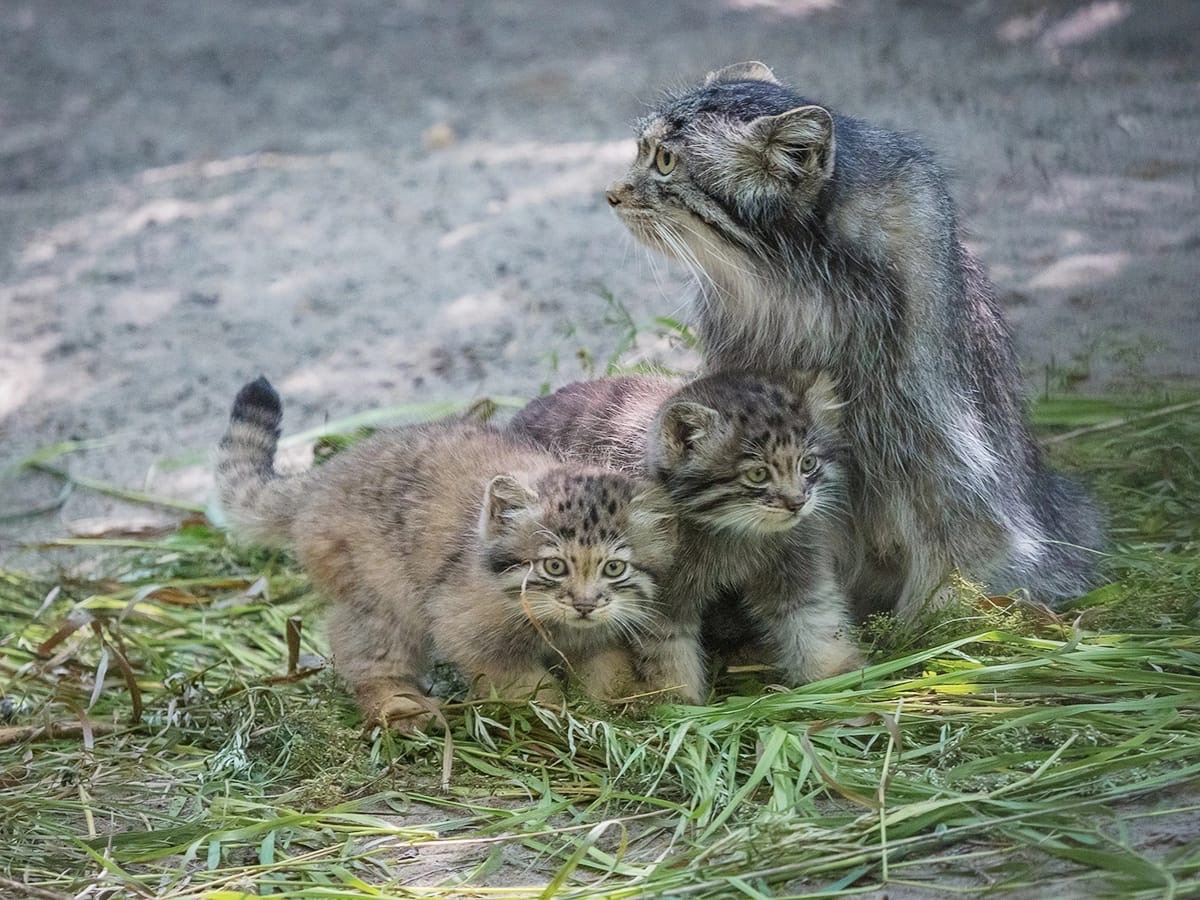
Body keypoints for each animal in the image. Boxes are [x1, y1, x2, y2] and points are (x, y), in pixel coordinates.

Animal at [217, 376, 681, 729]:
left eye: (614, 568)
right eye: (554, 565)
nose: (584, 605)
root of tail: (325, 475)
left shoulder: (601, 635)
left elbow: (608, 671)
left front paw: (619, 706)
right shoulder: (466, 629)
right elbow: (522, 682)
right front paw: (550, 715)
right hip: (382, 596)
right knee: (366, 654)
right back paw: (398, 706)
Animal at [511, 369, 868, 700]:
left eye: (807, 463)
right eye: (758, 474)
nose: (797, 503)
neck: (736, 534)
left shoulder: (795, 567)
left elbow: (814, 619)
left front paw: (837, 679)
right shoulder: (657, 599)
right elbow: (667, 651)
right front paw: (676, 702)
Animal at [609, 58, 1104, 619]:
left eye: (665, 160)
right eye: (642, 151)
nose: (611, 194)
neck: (789, 289)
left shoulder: (932, 442)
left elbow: (954, 539)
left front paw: (930, 622)